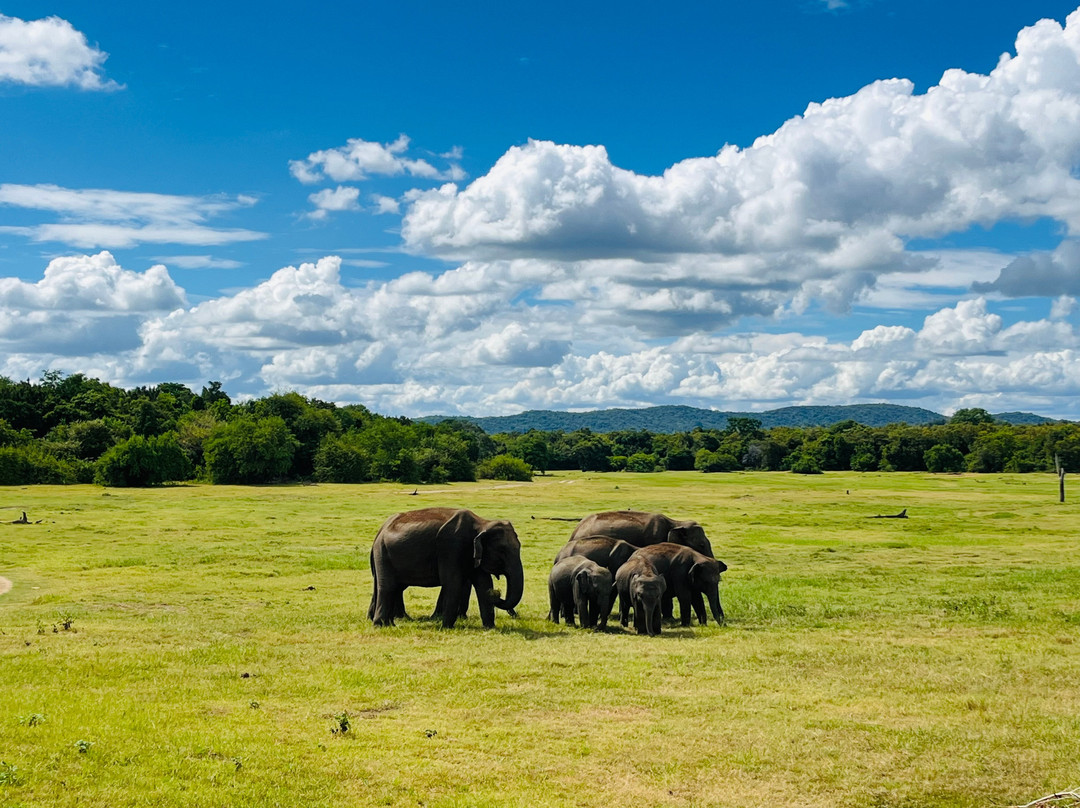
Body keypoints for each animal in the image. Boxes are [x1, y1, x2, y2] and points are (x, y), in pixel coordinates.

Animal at [369, 505, 524, 630]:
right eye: (502, 551)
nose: (497, 593)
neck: (482, 523)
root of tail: (380, 531)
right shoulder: (451, 547)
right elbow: (453, 583)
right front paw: (446, 627)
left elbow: (484, 583)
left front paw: (490, 628)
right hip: (383, 553)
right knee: (388, 587)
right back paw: (381, 625)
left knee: (393, 587)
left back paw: (389, 623)